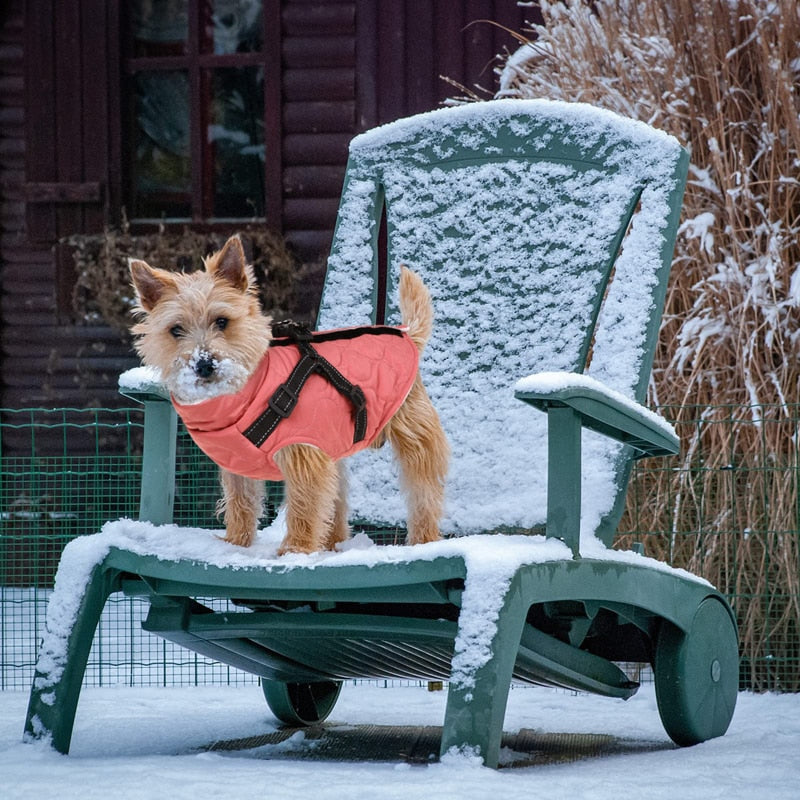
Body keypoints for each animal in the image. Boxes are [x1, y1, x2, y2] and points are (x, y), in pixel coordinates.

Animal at [128, 234, 446, 552]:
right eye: (176, 330)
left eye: (222, 321)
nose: (204, 364)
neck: (247, 392)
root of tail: (406, 333)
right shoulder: (238, 465)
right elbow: (241, 504)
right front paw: (236, 544)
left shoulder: (305, 455)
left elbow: (304, 506)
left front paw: (297, 550)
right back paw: (333, 542)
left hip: (414, 436)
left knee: (423, 493)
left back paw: (423, 538)